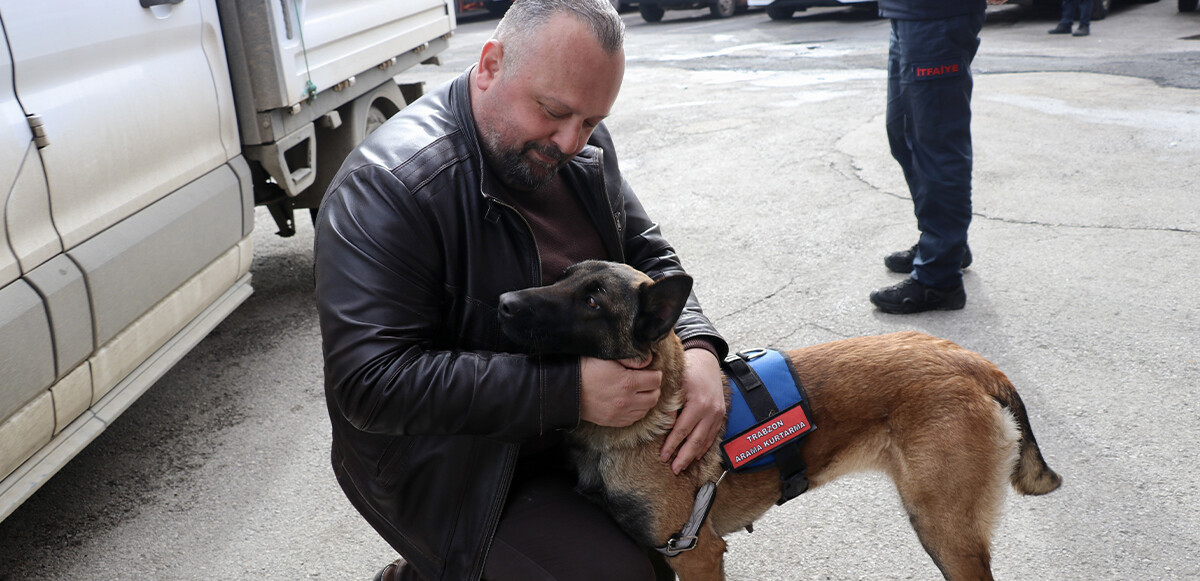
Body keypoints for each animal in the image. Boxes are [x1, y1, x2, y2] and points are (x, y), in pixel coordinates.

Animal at [496, 260, 1060, 578]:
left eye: (592, 300)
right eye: (562, 278)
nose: (503, 301)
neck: (651, 416)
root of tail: (973, 362)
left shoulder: (695, 554)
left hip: (943, 528)